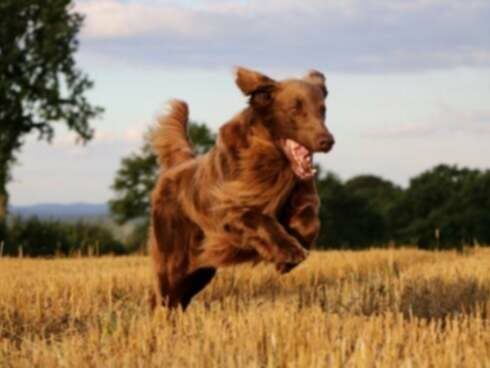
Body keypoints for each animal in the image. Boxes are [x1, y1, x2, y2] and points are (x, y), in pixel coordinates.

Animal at [148, 67, 334, 310]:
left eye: (323, 110)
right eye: (294, 109)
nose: (327, 141)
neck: (271, 163)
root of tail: (178, 166)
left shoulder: (302, 196)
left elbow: (310, 222)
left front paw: (288, 259)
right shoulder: (229, 210)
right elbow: (261, 220)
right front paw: (289, 252)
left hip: (200, 270)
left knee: (178, 297)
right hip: (173, 259)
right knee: (163, 294)